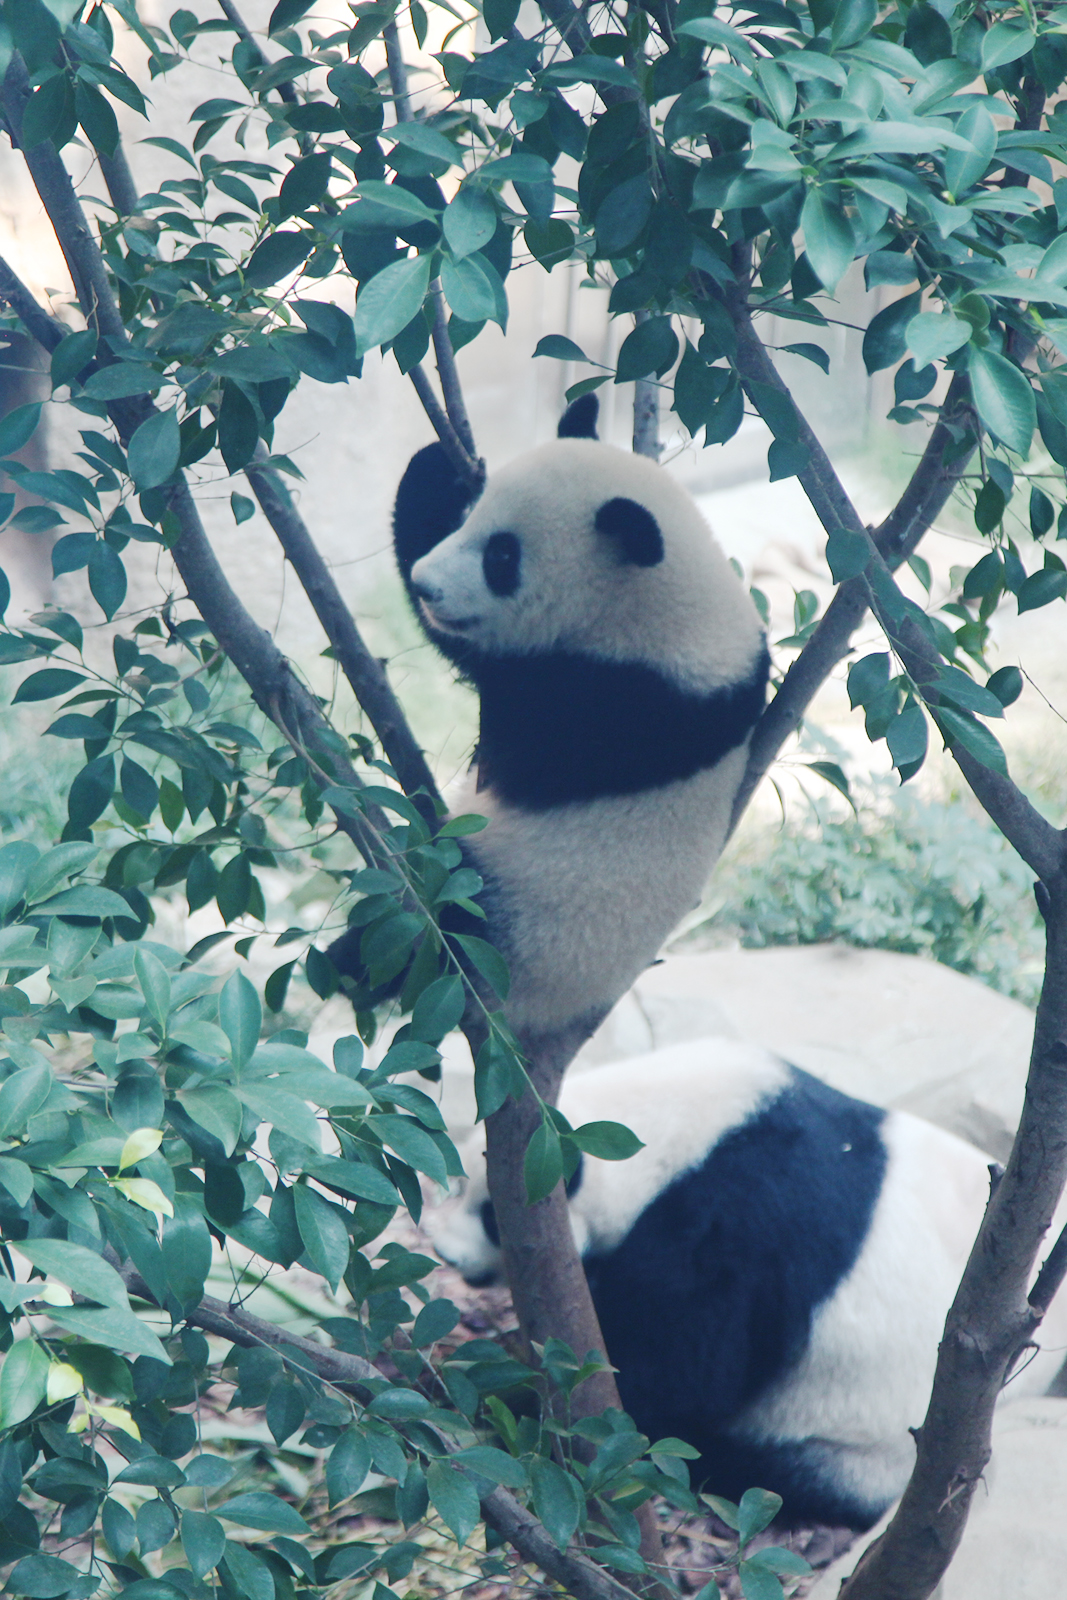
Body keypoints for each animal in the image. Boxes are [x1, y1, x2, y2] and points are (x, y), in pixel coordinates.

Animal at [329, 396, 769, 1046]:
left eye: (502, 556)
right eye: (475, 519)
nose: (427, 585)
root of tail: (538, 1014)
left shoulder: (610, 699)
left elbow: (490, 678)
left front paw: (426, 483)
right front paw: (444, 466)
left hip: (509, 918)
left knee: (418, 928)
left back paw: (341, 967)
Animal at [427, 1039, 1067, 1530]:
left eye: (487, 1213)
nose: (444, 1253)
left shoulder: (743, 1218)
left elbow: (677, 1370)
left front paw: (503, 1392)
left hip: (866, 1443)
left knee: (756, 1469)